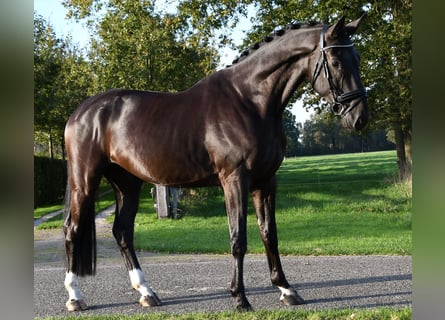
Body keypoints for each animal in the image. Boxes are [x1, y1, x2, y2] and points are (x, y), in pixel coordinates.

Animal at [62, 15, 368, 312]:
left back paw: (147, 292)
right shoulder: (234, 179)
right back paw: (75, 297)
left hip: (127, 183)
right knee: (72, 230)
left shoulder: (266, 181)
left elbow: (269, 234)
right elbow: (238, 238)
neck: (249, 100)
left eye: (358, 58)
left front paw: (286, 290)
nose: (359, 118)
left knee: (123, 231)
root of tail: (81, 112)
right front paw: (240, 298)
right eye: (336, 61)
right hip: (84, 183)